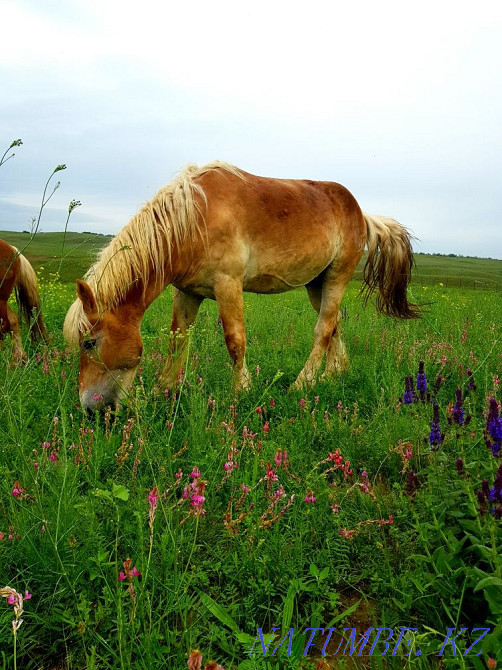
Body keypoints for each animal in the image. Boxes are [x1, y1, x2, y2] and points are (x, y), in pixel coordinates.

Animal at [63, 162, 418, 412]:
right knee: (334, 325)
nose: (90, 409)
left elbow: (235, 341)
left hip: (337, 277)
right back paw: (334, 374)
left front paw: (241, 392)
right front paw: (164, 389)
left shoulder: (228, 284)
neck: (194, 219)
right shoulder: (187, 292)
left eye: (89, 343)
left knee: (323, 330)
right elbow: (178, 339)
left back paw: (302, 385)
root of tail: (361, 213)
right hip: (316, 284)